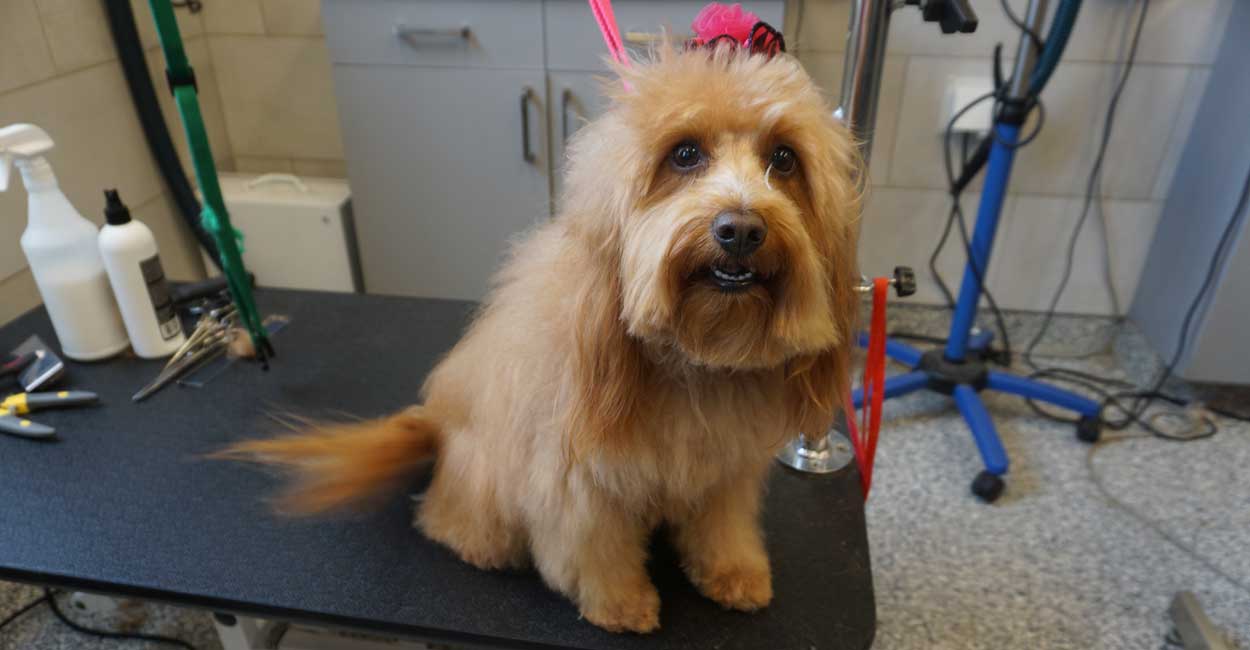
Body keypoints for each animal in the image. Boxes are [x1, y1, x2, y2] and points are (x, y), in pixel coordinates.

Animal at [222, 44, 860, 635]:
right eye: (685, 154)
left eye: (784, 159)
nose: (741, 229)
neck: (692, 366)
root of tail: (436, 425)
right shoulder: (576, 475)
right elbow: (595, 544)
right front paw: (620, 603)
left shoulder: (725, 470)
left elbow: (721, 527)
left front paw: (734, 572)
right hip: (485, 475)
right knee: (447, 519)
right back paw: (476, 543)